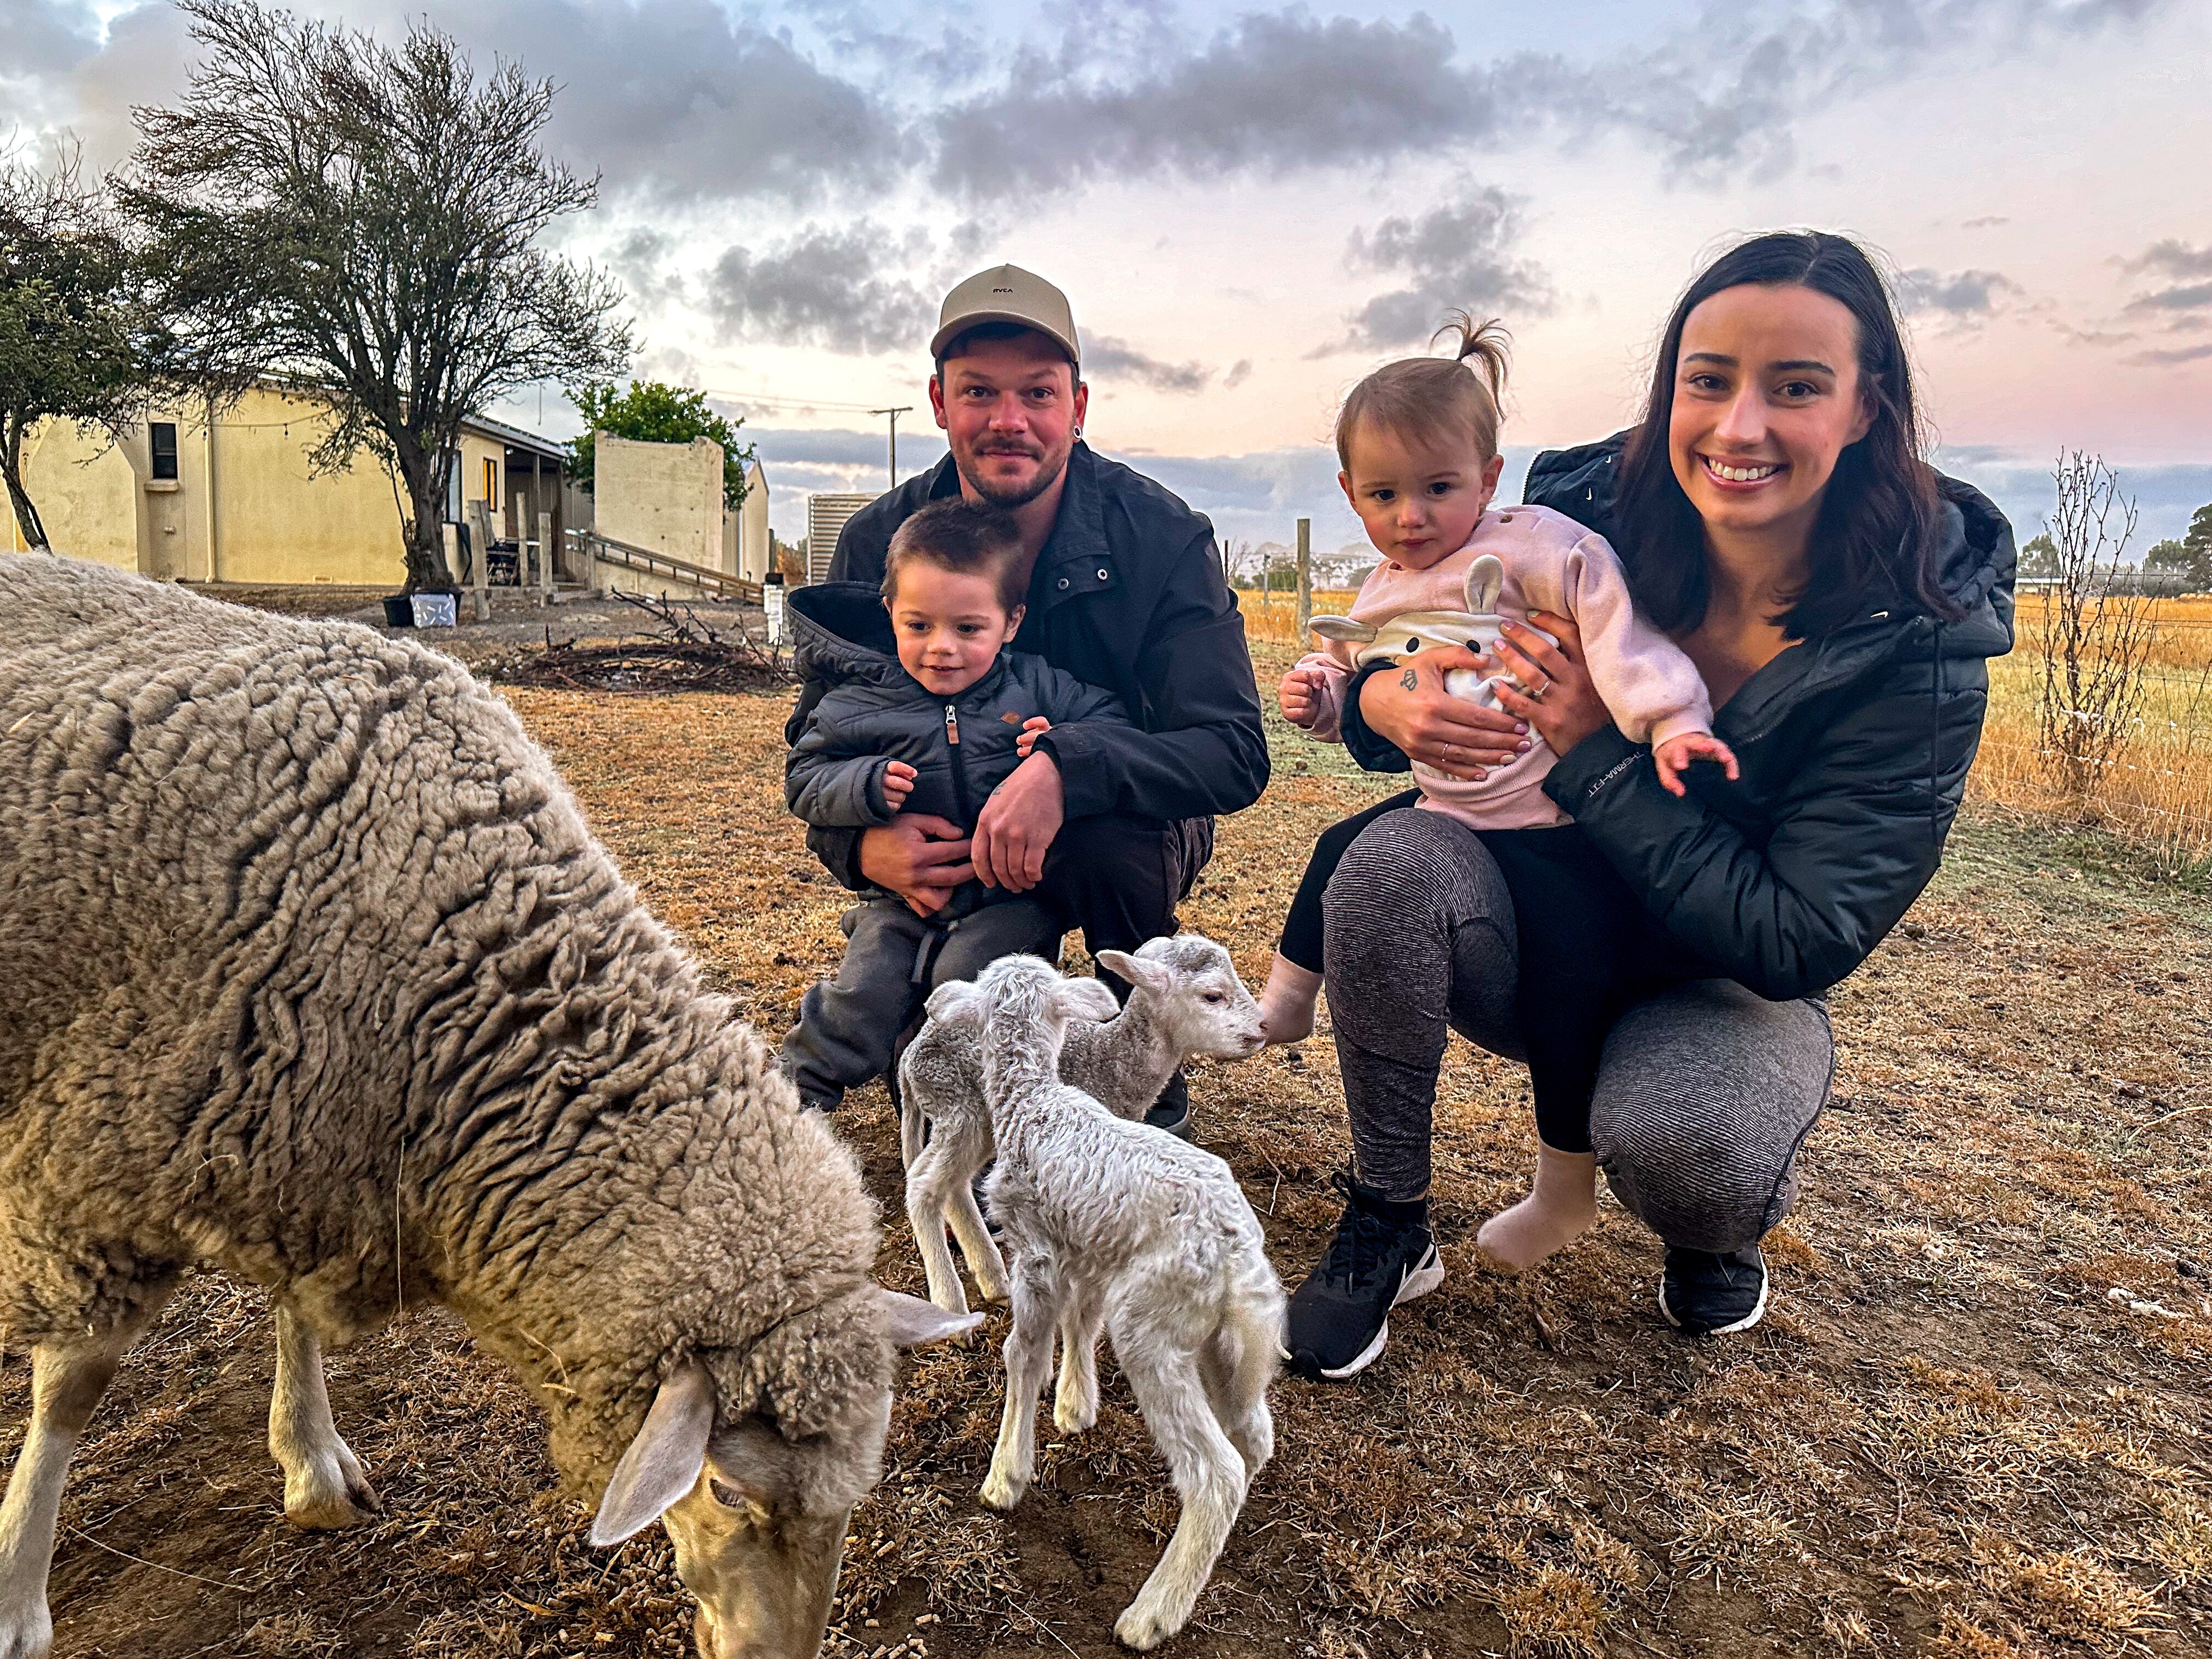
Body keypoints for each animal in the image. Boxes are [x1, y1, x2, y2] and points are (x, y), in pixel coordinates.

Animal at [0, 555, 977, 1659]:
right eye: (725, 1487)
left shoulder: (297, 1129)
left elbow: (292, 1305)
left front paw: (311, 1461)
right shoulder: (98, 1157)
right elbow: (72, 1386)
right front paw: (18, 1598)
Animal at [896, 933, 1263, 1316]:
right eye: (1212, 996)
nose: (1262, 1028)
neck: (1111, 1061)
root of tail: (910, 1055)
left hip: (976, 1122)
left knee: (954, 1186)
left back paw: (993, 1279)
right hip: (957, 1108)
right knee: (924, 1184)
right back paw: (950, 1301)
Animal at [935, 953, 1283, 1651]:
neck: (1033, 1101)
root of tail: (1238, 1257)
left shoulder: (1037, 1254)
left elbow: (1024, 1354)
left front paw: (1006, 1475)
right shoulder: (1090, 1252)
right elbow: (1080, 1321)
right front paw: (1076, 1408)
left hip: (1152, 1325)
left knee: (1216, 1474)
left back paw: (1153, 1614)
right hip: (1228, 1345)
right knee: (1253, 1436)